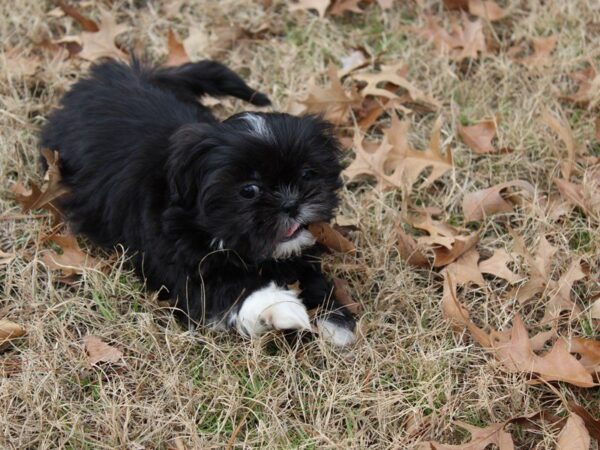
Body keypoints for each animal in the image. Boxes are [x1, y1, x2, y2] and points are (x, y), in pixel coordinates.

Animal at [41, 59, 356, 346]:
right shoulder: (185, 273)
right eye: (249, 190)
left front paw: (334, 317)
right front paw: (285, 308)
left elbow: (308, 273)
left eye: (307, 174)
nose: (291, 203)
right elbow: (235, 290)